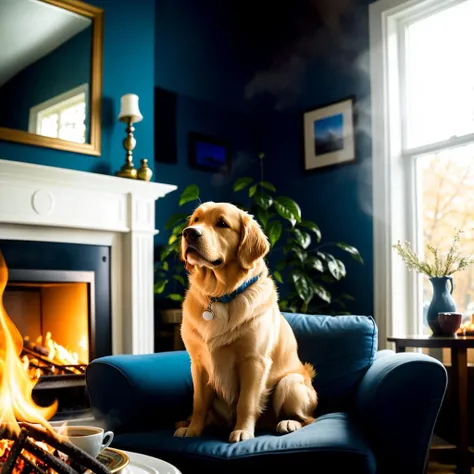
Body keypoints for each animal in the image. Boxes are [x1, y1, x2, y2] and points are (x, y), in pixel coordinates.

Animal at [175, 202, 318, 442]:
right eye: (195, 220)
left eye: (222, 223)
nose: (189, 233)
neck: (220, 295)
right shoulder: (198, 363)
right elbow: (199, 403)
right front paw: (193, 430)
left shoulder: (254, 361)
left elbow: (247, 402)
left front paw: (242, 431)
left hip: (290, 383)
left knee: (309, 419)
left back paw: (288, 423)